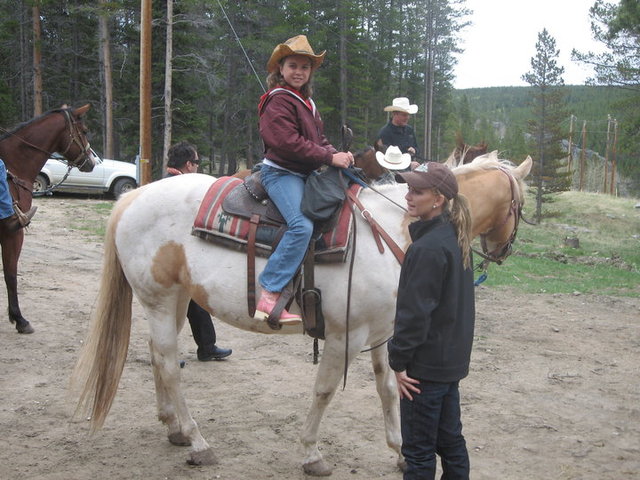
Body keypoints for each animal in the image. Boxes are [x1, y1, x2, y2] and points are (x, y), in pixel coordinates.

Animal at [0, 105, 97, 334]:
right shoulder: (13, 232)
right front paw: (20, 319)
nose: (92, 162)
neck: (14, 167)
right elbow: (10, 274)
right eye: (84, 130)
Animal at [71, 153, 532, 475]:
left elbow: (387, 390)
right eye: (520, 206)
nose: (504, 249)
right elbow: (324, 391)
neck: (394, 232)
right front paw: (312, 454)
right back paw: (198, 441)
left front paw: (400, 451)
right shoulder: (347, 336)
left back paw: (173, 428)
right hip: (161, 299)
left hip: (178, 299)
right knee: (168, 364)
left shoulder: (384, 333)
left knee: (155, 356)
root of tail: (134, 196)